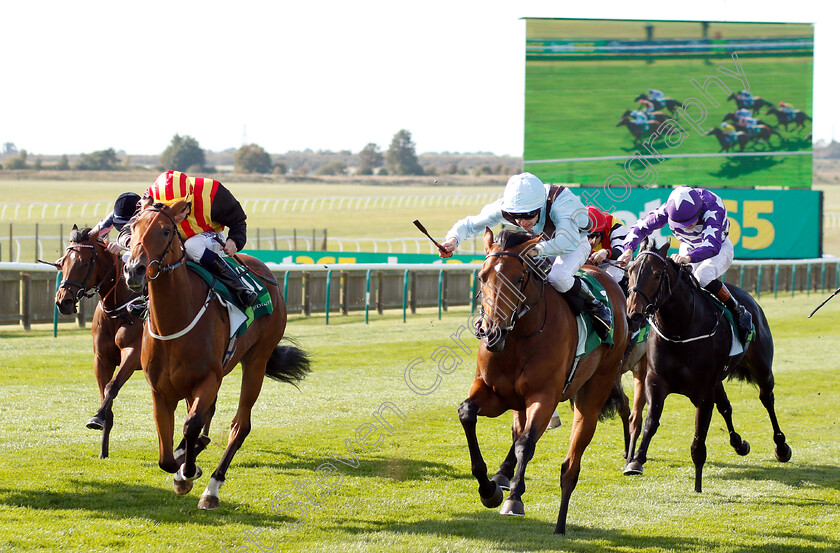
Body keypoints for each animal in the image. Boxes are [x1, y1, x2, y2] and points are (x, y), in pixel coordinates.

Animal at [123, 198, 310, 508]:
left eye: (165, 231)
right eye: (131, 227)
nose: (134, 270)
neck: (176, 320)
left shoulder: (208, 379)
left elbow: (191, 426)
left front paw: (188, 472)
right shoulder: (160, 391)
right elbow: (166, 455)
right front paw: (183, 464)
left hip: (257, 360)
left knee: (240, 425)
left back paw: (212, 488)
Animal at [460, 226, 632, 532]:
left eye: (519, 278)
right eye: (482, 276)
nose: (491, 331)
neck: (517, 338)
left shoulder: (545, 396)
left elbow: (526, 443)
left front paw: (514, 499)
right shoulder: (495, 393)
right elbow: (468, 413)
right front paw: (488, 489)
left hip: (596, 388)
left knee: (571, 463)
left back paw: (560, 523)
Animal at [620, 239, 792, 490]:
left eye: (657, 274)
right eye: (630, 270)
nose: (633, 315)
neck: (681, 330)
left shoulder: (703, 390)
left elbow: (699, 433)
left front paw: (698, 483)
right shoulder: (655, 380)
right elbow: (651, 420)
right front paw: (636, 461)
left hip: (761, 369)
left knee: (767, 399)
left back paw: (781, 446)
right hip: (718, 381)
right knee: (726, 407)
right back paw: (739, 443)